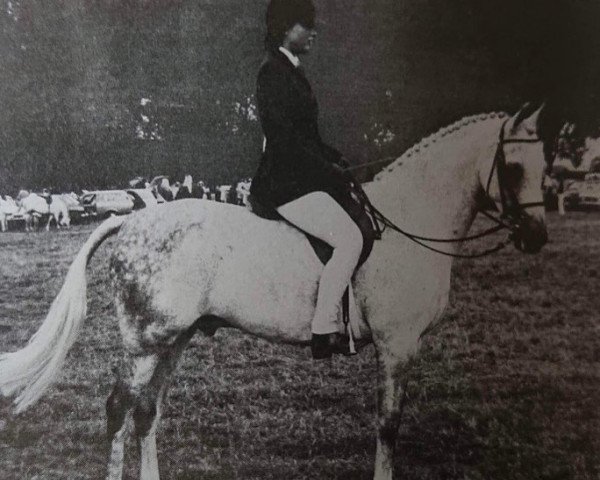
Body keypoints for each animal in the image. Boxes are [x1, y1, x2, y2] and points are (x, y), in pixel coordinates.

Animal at [0, 106, 552, 480]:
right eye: (513, 168)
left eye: (546, 165)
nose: (537, 237)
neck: (409, 221)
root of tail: (132, 219)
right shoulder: (398, 346)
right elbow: (388, 425)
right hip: (144, 343)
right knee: (119, 409)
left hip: (173, 341)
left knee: (145, 411)